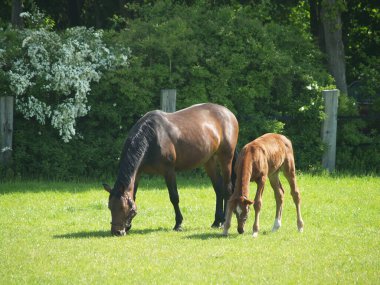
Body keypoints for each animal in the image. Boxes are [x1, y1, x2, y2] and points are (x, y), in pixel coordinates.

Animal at [101, 103, 238, 234]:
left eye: (123, 208)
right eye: (110, 207)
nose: (117, 232)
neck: (152, 138)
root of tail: (228, 113)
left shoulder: (169, 171)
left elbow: (174, 197)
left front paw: (178, 224)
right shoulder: (138, 173)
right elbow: (133, 195)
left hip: (226, 158)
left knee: (227, 188)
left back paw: (224, 220)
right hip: (209, 161)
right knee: (218, 189)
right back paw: (217, 221)